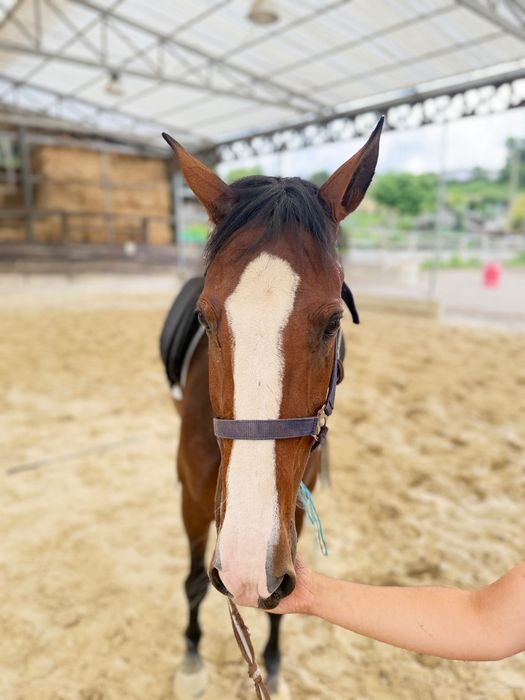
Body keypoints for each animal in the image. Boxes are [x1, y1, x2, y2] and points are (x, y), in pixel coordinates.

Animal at [162, 118, 383, 698]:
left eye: (333, 322)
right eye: (205, 317)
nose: (242, 565)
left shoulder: (293, 515)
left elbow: (282, 604)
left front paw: (276, 664)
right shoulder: (193, 500)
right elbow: (193, 581)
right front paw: (191, 658)